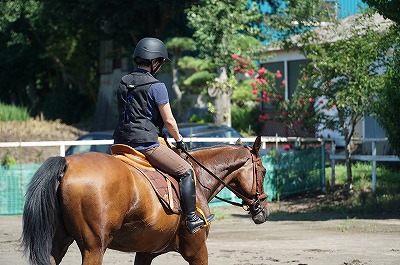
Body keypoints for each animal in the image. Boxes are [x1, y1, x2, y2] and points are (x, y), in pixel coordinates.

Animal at [21, 135, 270, 262]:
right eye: (264, 171)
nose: (264, 211)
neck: (198, 178)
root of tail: (68, 163)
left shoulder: (146, 252)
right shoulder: (197, 250)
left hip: (59, 242)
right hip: (94, 247)